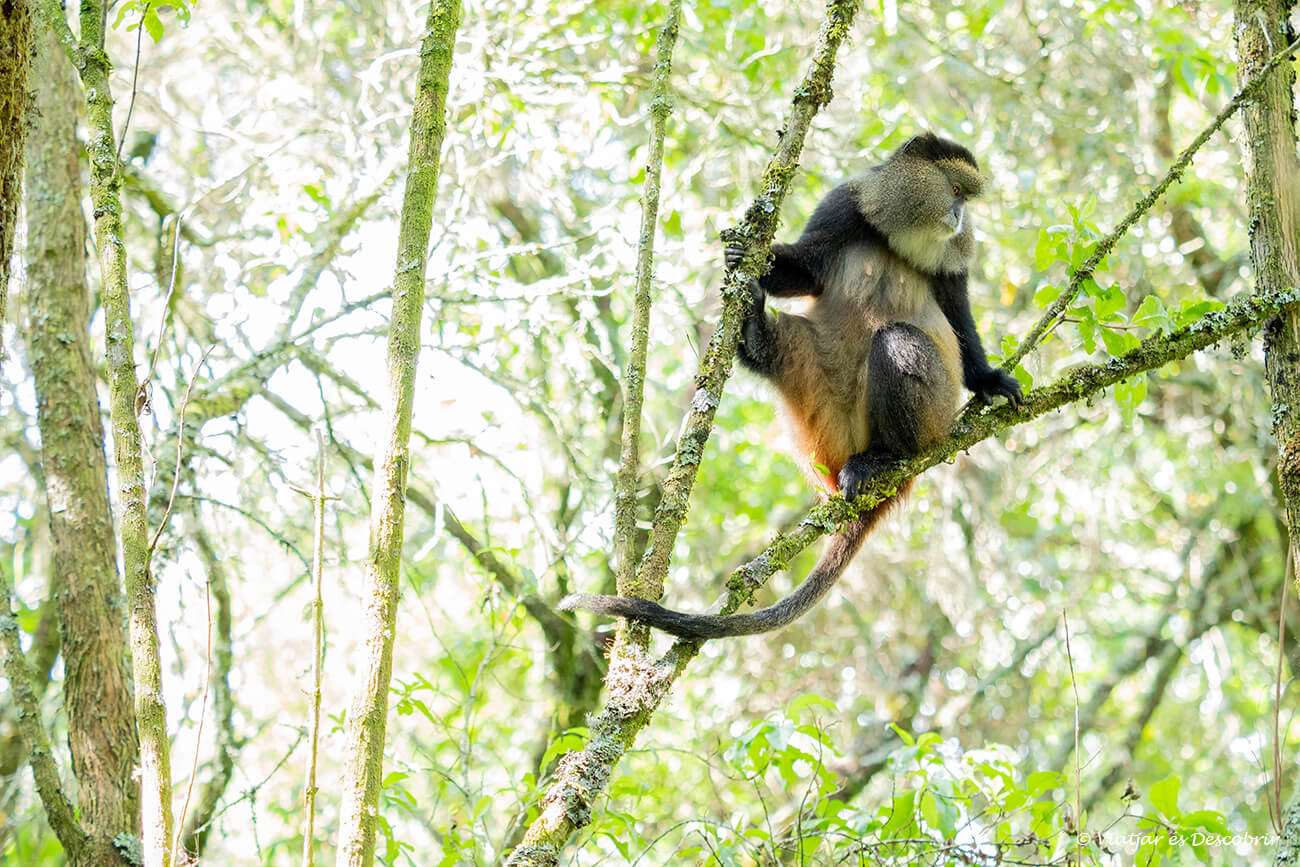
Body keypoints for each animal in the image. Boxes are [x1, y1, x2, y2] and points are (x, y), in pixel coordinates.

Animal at [560, 133, 1022, 639]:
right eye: (954, 192)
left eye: (965, 199)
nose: (960, 218)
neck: (899, 233)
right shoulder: (846, 205)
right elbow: (809, 269)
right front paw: (738, 253)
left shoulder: (953, 260)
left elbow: (957, 315)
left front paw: (987, 380)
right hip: (812, 388)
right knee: (790, 342)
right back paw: (756, 337)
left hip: (931, 416)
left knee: (899, 340)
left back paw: (884, 457)